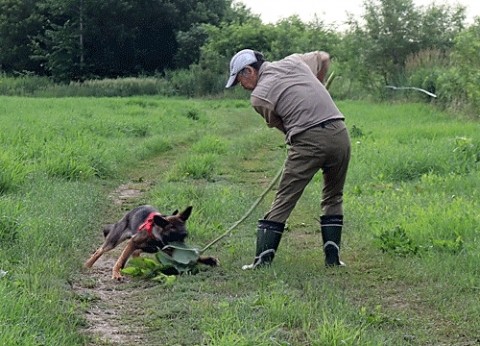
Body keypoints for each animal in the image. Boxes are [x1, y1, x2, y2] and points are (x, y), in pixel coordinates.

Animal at [83, 204, 218, 280]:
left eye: (184, 236)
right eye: (172, 237)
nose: (182, 248)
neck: (156, 235)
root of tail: (130, 212)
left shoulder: (168, 249)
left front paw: (207, 260)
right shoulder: (133, 242)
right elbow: (120, 261)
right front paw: (116, 273)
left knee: (136, 253)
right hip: (114, 240)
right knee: (99, 251)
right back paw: (87, 265)